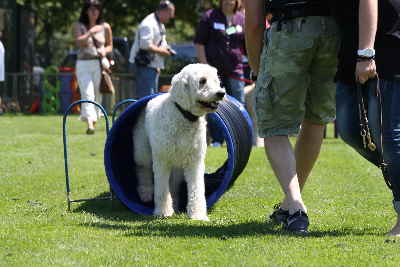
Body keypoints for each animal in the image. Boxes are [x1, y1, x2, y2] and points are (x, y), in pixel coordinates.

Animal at [131, 63, 225, 221]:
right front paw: (163, 212)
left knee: (173, 185)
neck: (184, 116)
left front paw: (198, 214)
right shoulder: (162, 161)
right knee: (142, 170)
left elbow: (197, 189)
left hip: (177, 167)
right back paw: (145, 193)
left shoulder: (195, 162)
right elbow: (161, 189)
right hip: (142, 151)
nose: (221, 93)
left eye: (216, 80)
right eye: (202, 81)